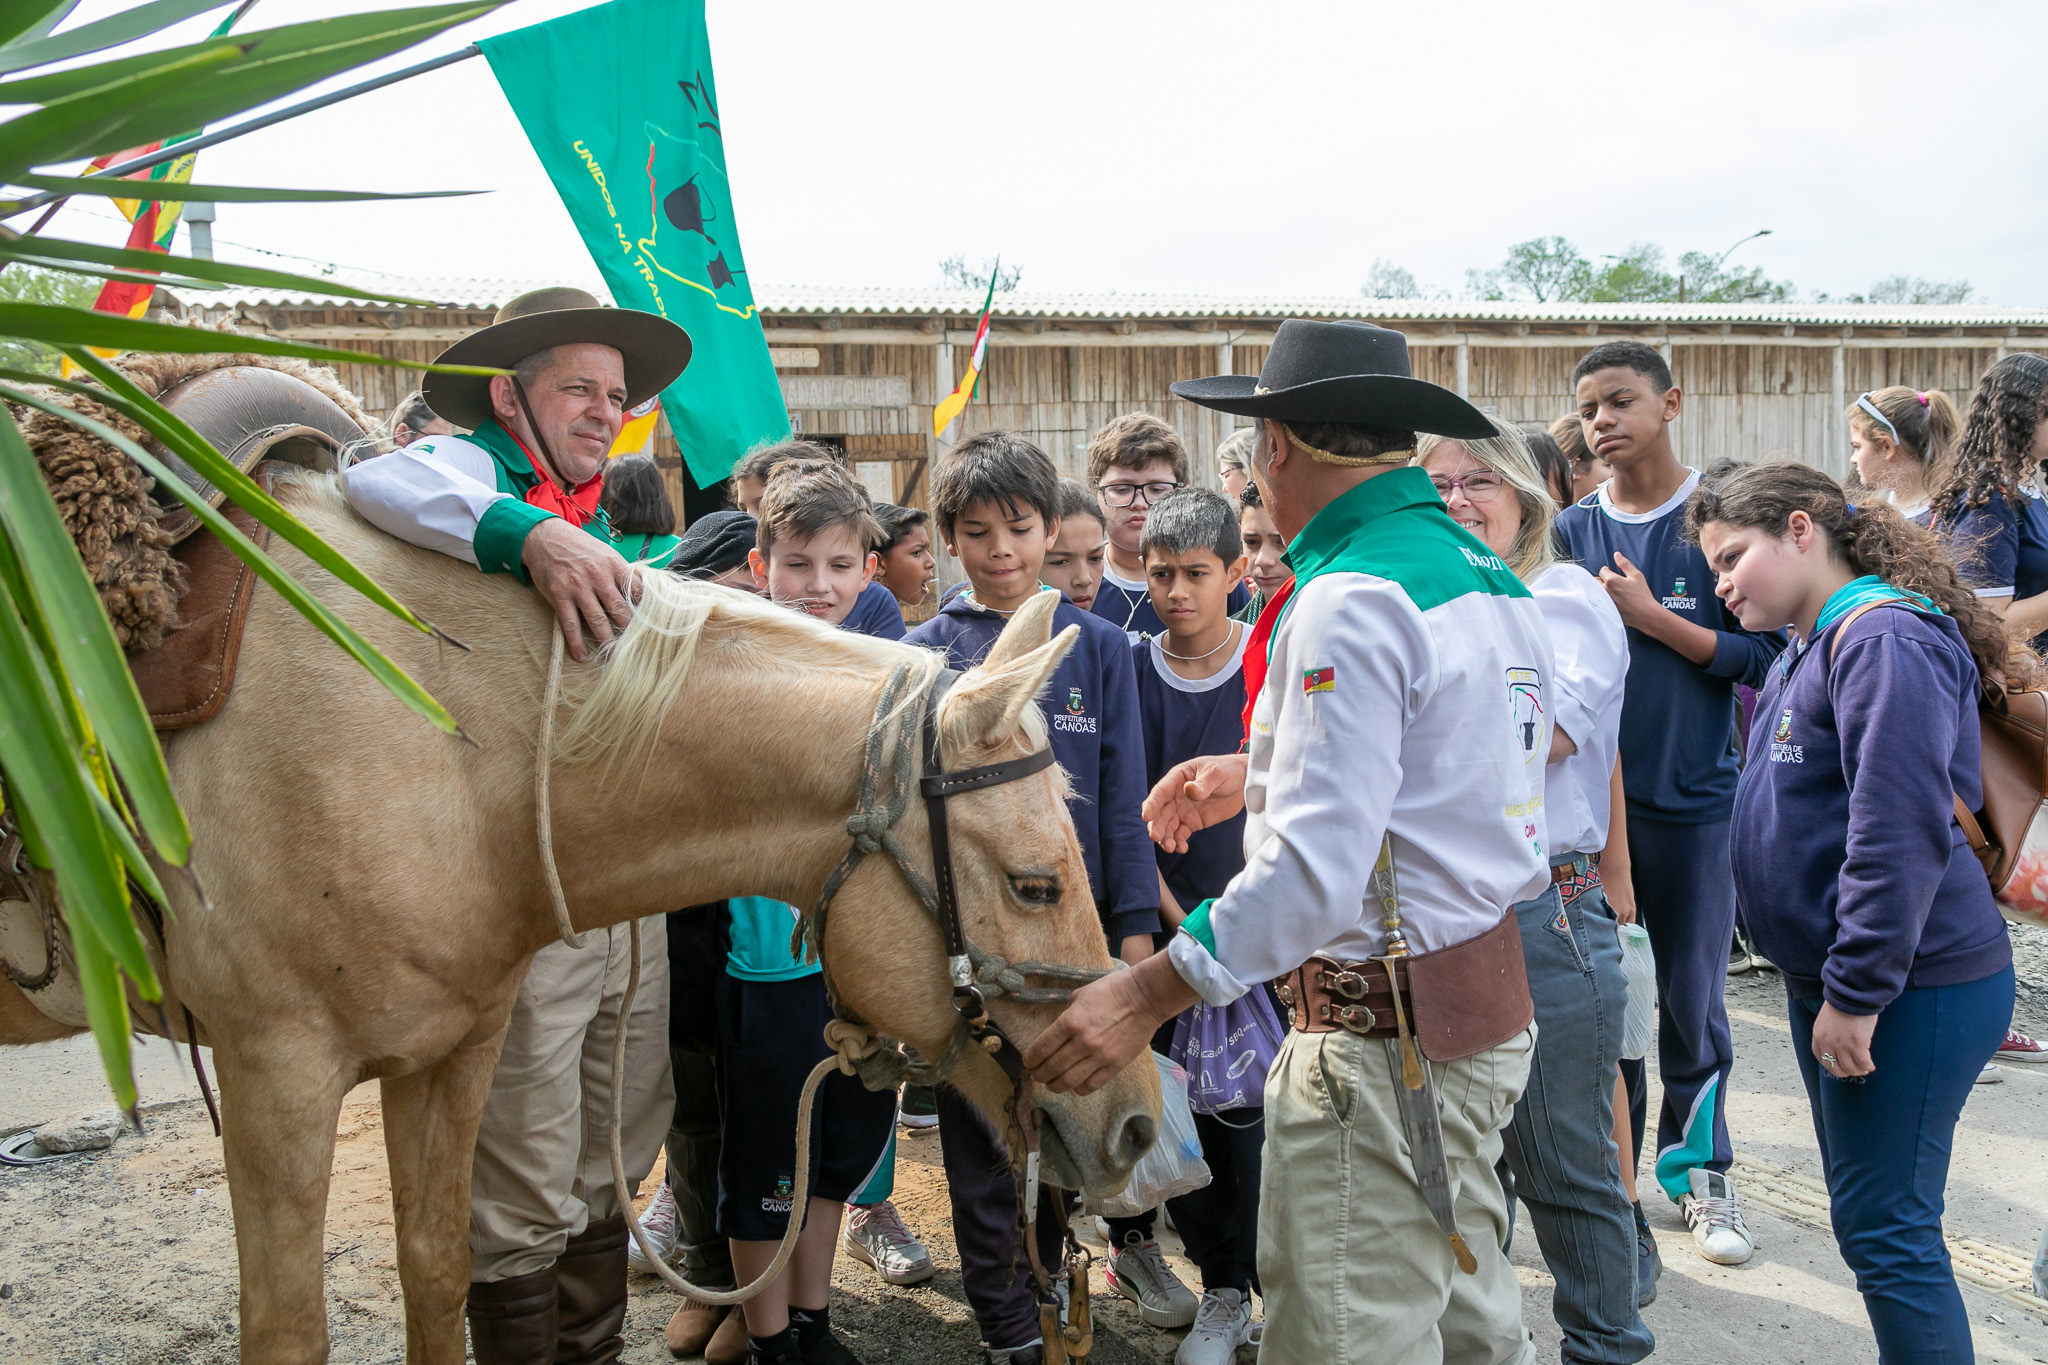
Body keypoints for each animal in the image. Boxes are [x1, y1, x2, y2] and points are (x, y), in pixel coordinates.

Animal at [0, 472, 1155, 1365]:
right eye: (1037, 885)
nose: (1139, 1122)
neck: (446, 739)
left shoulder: (451, 1053)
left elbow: (439, 1279)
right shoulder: (272, 1074)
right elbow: (289, 1333)